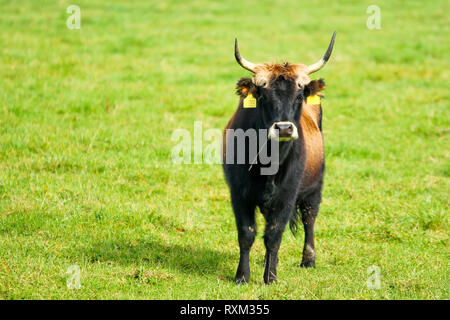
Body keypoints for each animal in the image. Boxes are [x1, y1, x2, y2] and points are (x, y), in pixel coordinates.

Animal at [221, 31, 334, 284]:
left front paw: (270, 277)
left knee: (309, 218)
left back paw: (308, 260)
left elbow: (274, 234)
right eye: (263, 94)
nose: (283, 128)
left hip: (315, 187)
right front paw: (242, 276)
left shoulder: (287, 196)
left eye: (299, 95)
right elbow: (247, 233)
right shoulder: (239, 194)